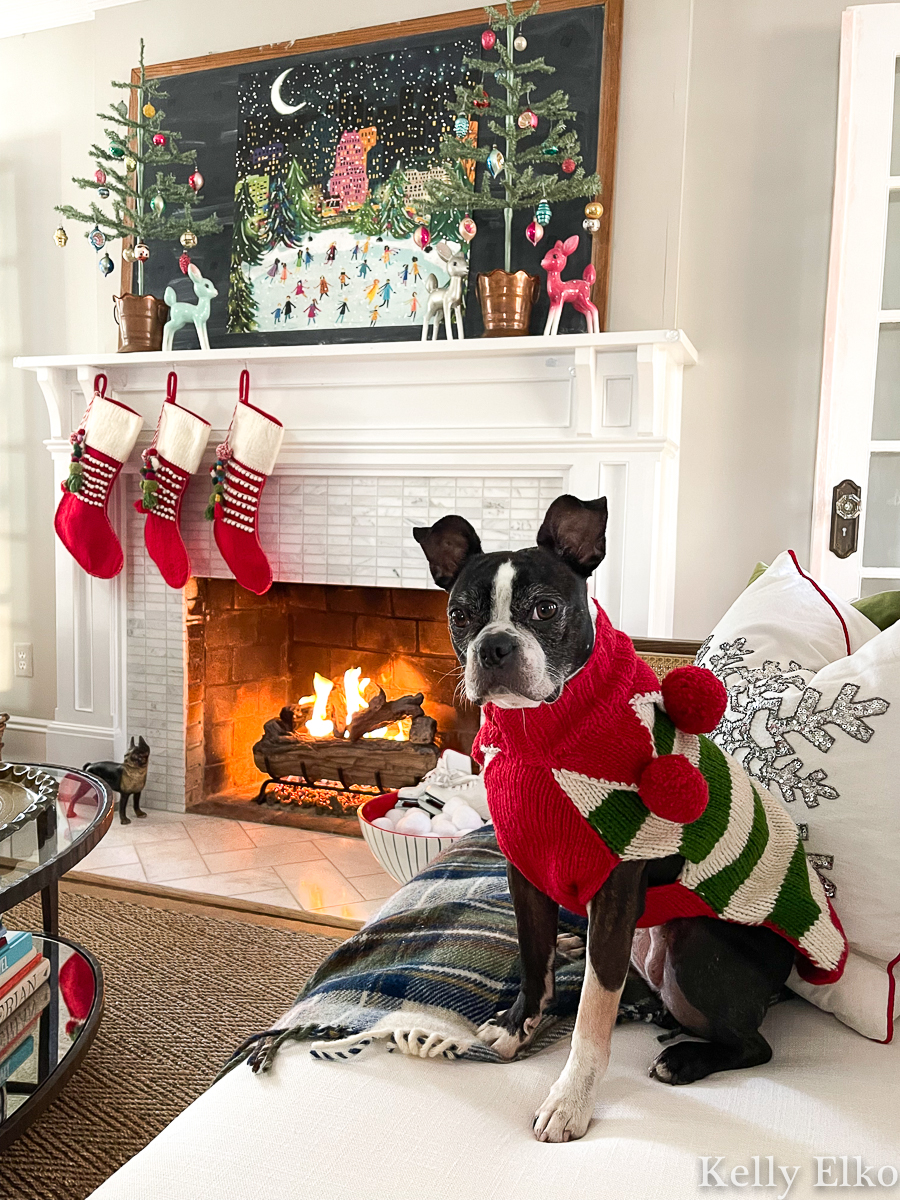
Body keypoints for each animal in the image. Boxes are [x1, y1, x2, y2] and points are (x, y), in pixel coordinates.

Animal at [415, 494, 844, 1142]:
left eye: (545, 608)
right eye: (461, 615)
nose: (494, 646)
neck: (543, 739)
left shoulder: (618, 887)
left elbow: (593, 1012)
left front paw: (570, 1100)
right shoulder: (526, 874)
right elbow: (534, 964)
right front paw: (518, 1029)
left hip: (693, 944)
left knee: (752, 1044)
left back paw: (684, 1058)